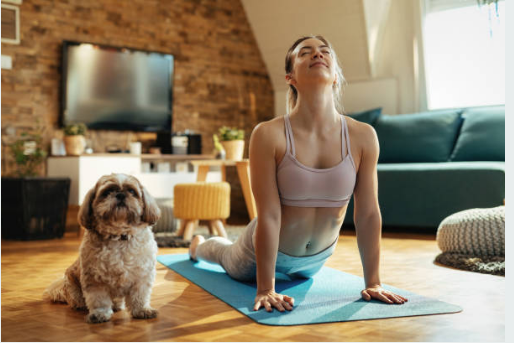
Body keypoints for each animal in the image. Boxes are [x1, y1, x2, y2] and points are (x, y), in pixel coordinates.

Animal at [44, 173, 160, 324]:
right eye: (107, 192)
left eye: (132, 191)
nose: (120, 194)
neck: (119, 235)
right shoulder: (94, 279)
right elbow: (99, 300)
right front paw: (99, 314)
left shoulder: (141, 277)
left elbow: (139, 296)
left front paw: (142, 310)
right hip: (72, 285)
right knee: (78, 300)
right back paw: (81, 305)